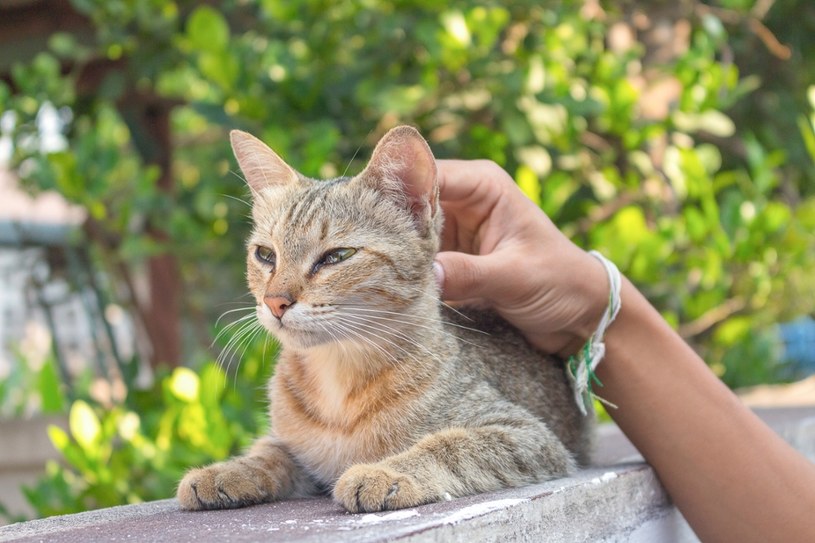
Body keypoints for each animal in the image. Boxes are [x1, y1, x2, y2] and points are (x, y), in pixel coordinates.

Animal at [175, 124, 588, 516]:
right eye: (265, 254)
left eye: (337, 256)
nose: (275, 302)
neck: (337, 381)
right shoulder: (298, 452)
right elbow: (269, 453)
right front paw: (228, 470)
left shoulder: (527, 435)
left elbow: (452, 445)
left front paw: (386, 472)